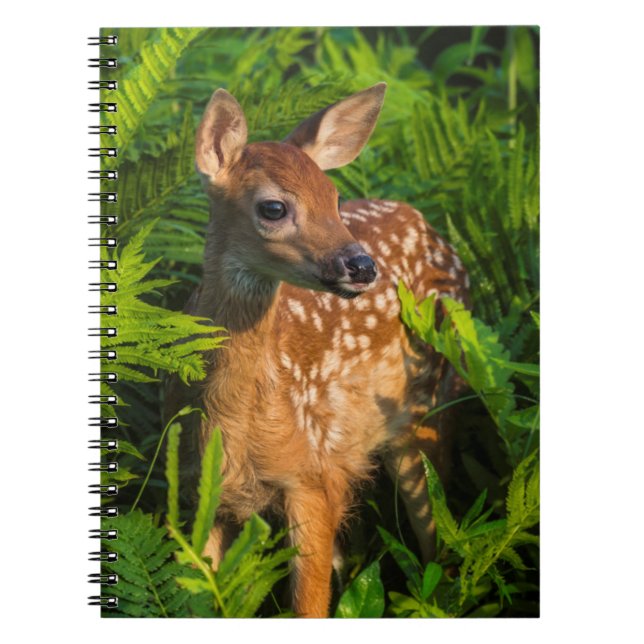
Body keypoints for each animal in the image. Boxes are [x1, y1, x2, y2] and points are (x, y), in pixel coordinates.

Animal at [168, 82, 470, 618]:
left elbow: (309, 607)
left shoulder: (312, 477)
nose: (363, 266)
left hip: (430, 406)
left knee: (438, 537)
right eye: (273, 208)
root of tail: (434, 232)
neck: (236, 421)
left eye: (333, 197)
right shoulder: (206, 494)